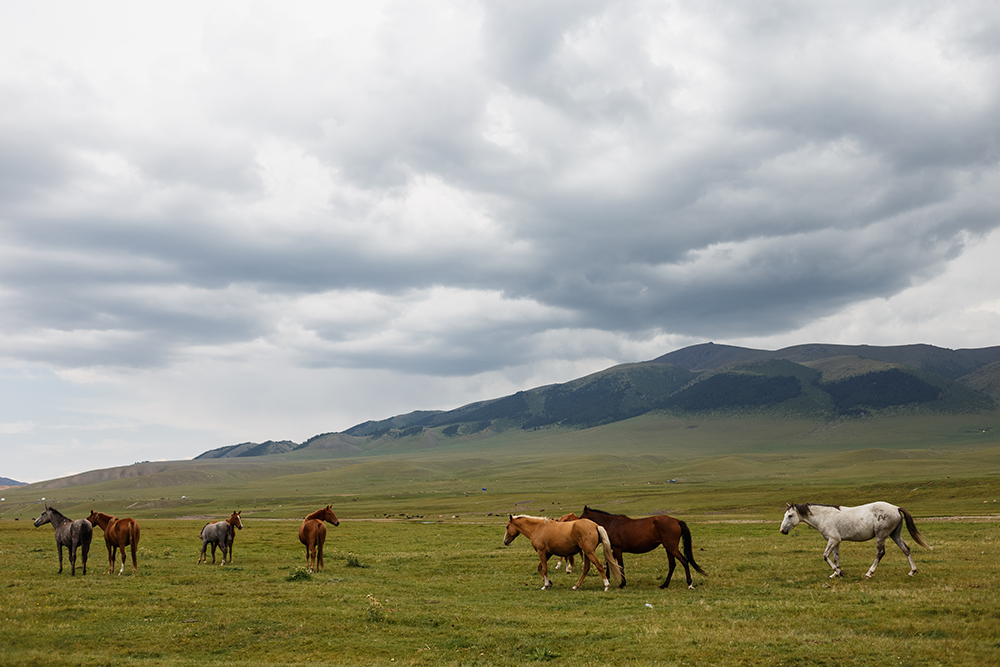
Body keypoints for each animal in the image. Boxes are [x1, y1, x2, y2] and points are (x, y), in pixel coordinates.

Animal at [780, 500, 928, 580]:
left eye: (790, 515)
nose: (782, 530)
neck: (824, 516)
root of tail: (896, 508)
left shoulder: (833, 540)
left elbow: (825, 556)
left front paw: (838, 572)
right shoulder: (836, 541)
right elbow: (836, 557)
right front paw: (836, 573)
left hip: (881, 536)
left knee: (880, 553)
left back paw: (869, 573)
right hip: (895, 535)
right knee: (905, 549)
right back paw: (912, 572)